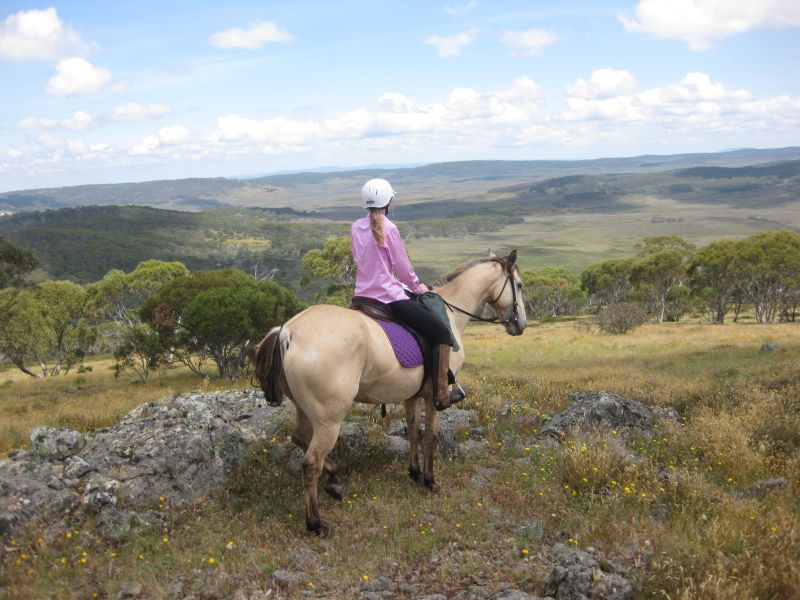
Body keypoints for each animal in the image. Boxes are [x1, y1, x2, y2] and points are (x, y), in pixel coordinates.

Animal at [250, 248, 524, 536]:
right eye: (519, 285)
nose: (520, 325)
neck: (451, 315)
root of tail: (289, 332)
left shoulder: (411, 396)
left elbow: (413, 433)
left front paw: (414, 472)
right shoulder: (433, 398)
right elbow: (430, 438)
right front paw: (430, 481)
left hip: (305, 409)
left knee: (300, 438)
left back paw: (334, 478)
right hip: (329, 419)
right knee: (310, 463)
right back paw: (316, 523)